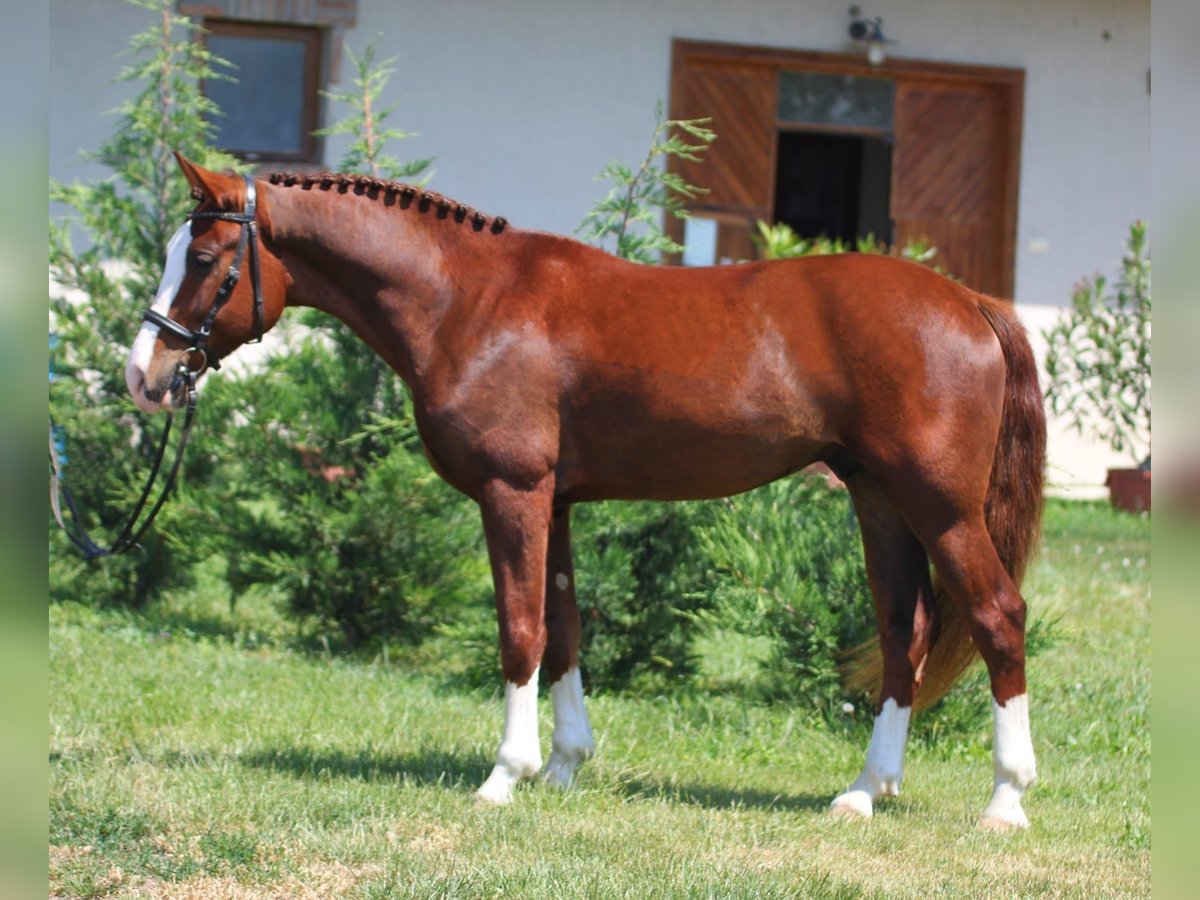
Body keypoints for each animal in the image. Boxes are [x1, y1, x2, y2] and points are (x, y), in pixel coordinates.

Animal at [129, 154, 1041, 830]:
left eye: (203, 261)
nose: (144, 375)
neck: (471, 301)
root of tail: (970, 300)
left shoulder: (514, 493)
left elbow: (521, 630)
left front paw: (506, 775)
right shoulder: (558, 503)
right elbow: (564, 628)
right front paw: (565, 766)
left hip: (941, 509)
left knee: (997, 617)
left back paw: (1005, 800)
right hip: (880, 501)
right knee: (904, 632)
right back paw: (861, 792)